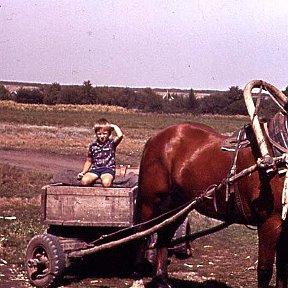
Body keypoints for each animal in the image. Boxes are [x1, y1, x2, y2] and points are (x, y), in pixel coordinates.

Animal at [132, 86, 288, 288]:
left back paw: (162, 280)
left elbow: (283, 271)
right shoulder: (269, 221)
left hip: (177, 205)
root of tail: (156, 138)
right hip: (151, 202)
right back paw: (138, 278)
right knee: (142, 233)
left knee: (164, 236)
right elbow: (265, 270)